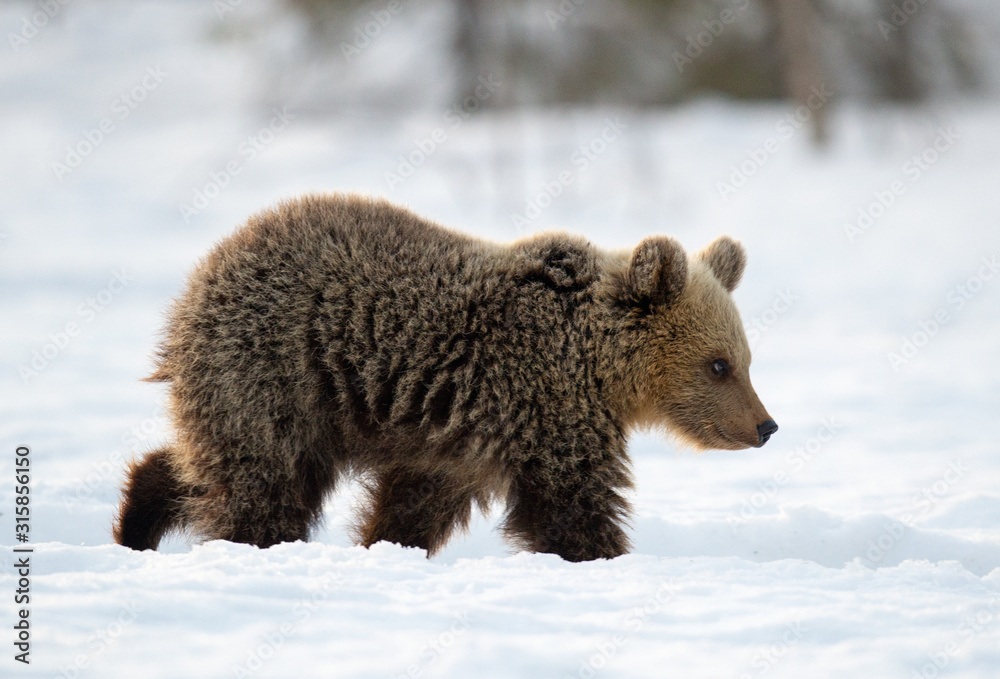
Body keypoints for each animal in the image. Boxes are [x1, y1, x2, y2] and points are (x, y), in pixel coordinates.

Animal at [113, 193, 777, 562]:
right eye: (719, 365)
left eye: (747, 360)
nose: (766, 425)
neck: (598, 364)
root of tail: (210, 265)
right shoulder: (544, 406)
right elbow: (572, 507)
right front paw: (605, 557)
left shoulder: (452, 442)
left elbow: (412, 507)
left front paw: (385, 549)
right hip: (275, 368)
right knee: (260, 480)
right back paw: (248, 543)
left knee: (207, 465)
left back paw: (137, 518)